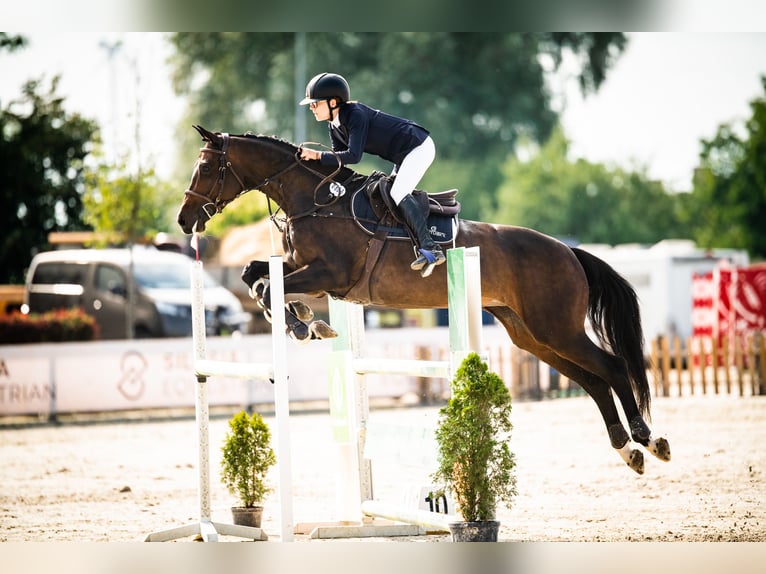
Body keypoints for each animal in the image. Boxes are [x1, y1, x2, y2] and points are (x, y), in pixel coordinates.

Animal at [177, 125, 671, 475]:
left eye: (207, 168)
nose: (184, 220)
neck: (316, 202)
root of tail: (569, 251)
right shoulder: (307, 272)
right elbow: (254, 276)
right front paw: (303, 320)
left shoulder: (330, 275)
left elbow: (265, 286)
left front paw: (303, 324)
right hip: (529, 335)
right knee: (593, 382)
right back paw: (627, 451)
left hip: (557, 328)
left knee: (610, 367)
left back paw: (649, 439)